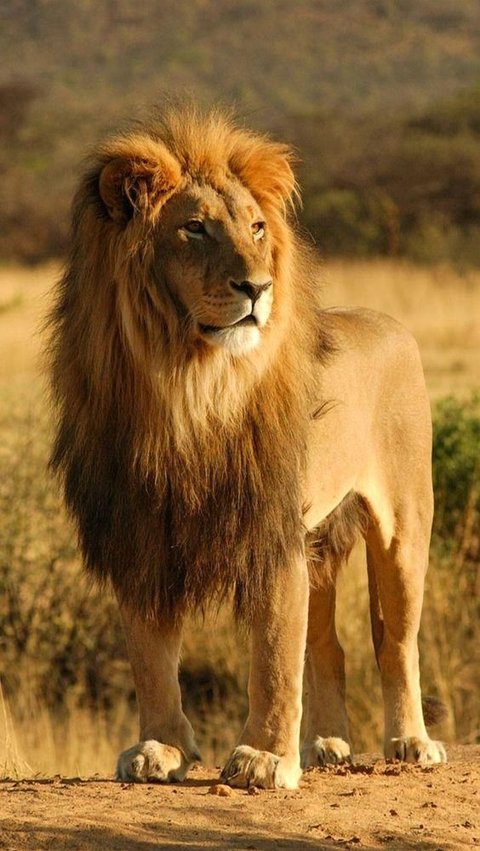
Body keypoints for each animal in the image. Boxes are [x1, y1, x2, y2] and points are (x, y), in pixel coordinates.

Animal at [47, 106, 446, 792]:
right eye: (195, 228)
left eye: (258, 228)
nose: (256, 287)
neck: (187, 386)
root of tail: (389, 322)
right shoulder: (140, 530)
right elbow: (151, 655)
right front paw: (160, 749)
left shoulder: (270, 529)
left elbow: (274, 655)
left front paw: (263, 758)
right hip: (321, 543)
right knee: (330, 646)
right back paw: (326, 745)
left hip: (403, 526)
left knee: (395, 641)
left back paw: (410, 742)